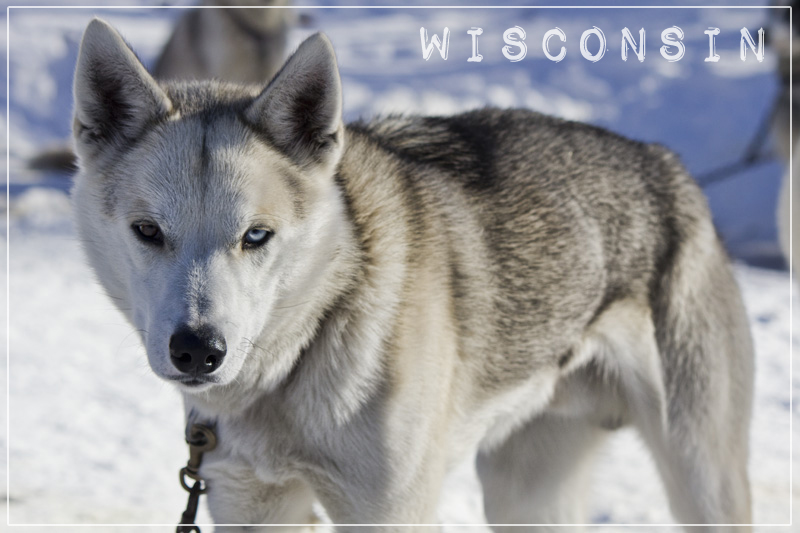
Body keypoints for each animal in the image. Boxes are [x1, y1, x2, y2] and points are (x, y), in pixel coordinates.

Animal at [72, 18, 752, 528]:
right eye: (148, 231)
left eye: (256, 236)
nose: (196, 350)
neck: (302, 356)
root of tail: (669, 166)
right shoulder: (249, 502)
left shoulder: (390, 512)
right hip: (520, 491)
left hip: (702, 477)